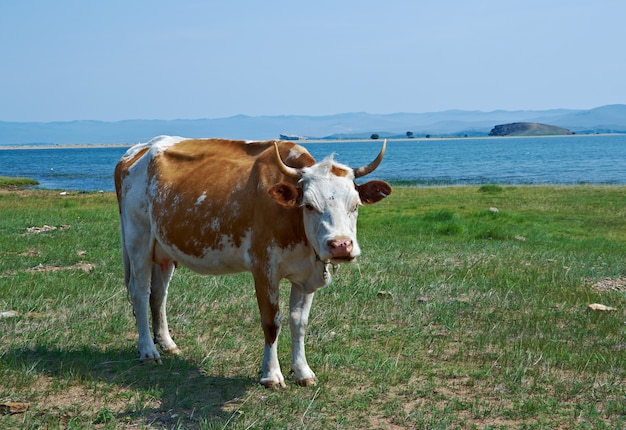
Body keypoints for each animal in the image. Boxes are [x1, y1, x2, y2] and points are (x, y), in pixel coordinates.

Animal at [113, 136, 390, 388]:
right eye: (309, 205)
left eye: (355, 205)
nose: (341, 245)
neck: (295, 224)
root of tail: (138, 150)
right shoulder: (263, 268)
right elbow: (271, 322)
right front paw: (271, 375)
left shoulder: (306, 275)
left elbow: (299, 322)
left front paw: (302, 371)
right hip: (138, 238)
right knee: (140, 292)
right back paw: (148, 350)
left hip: (162, 250)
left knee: (159, 295)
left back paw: (167, 343)